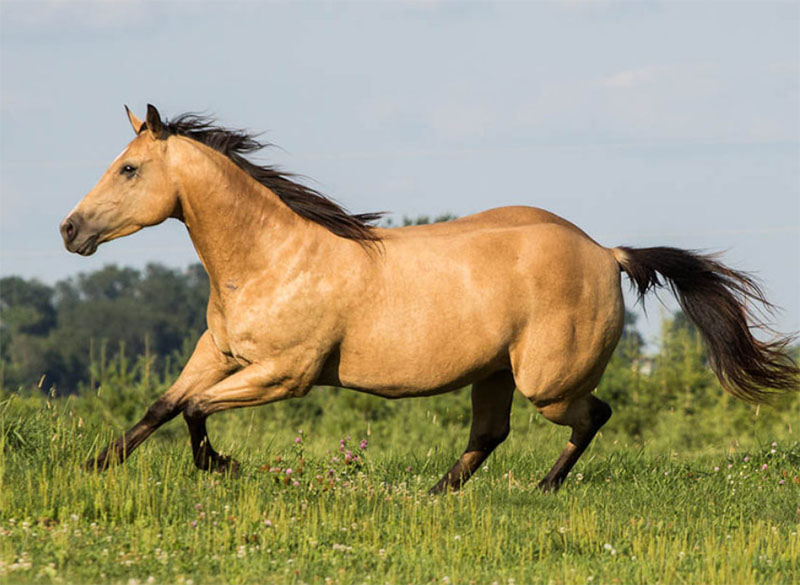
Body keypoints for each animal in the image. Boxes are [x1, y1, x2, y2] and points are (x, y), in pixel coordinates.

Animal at [59, 106, 796, 492]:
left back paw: (542, 487)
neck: (271, 260)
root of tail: (606, 252)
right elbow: (163, 404)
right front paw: (94, 465)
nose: (70, 229)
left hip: (546, 382)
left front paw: (222, 464)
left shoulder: (283, 374)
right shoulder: (220, 352)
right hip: (496, 373)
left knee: (594, 415)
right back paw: (440, 491)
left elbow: (193, 409)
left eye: (129, 168)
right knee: (491, 432)